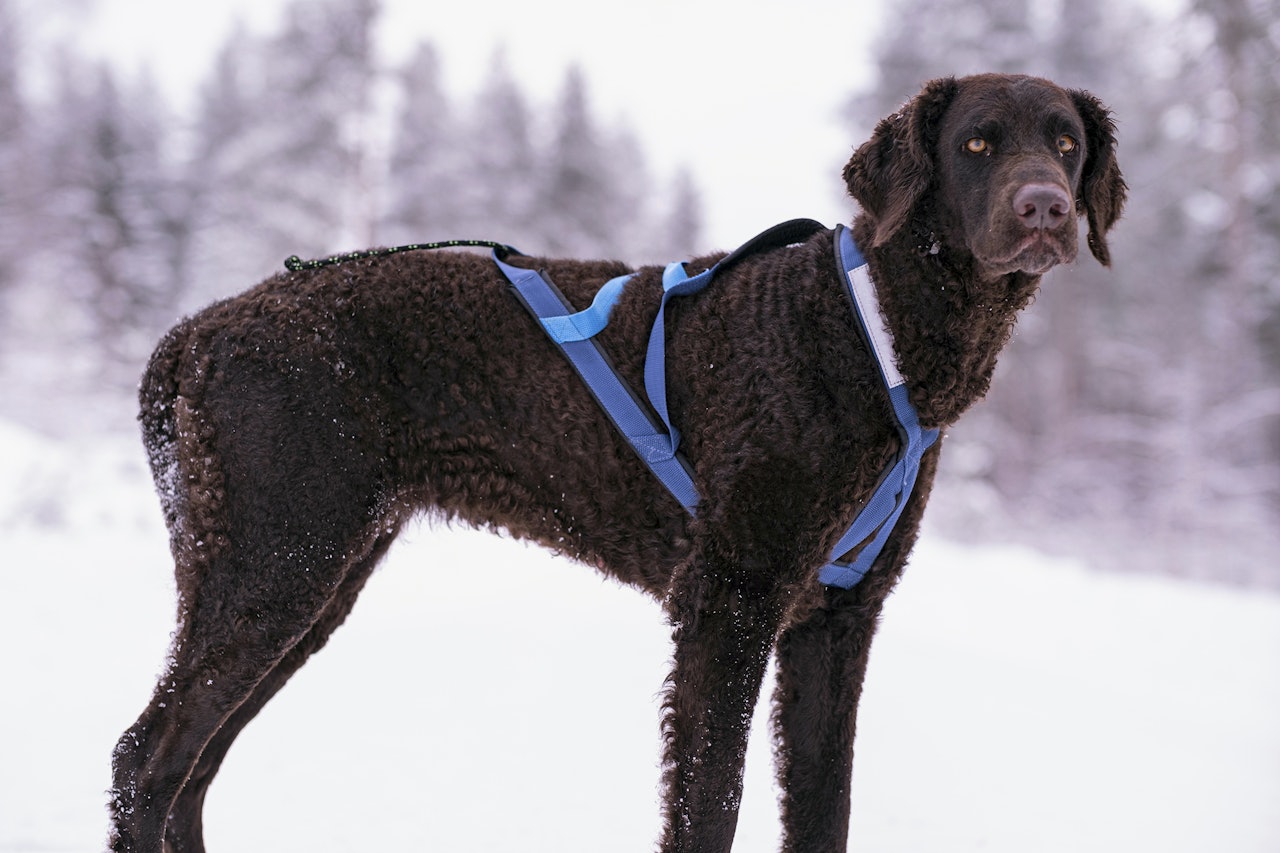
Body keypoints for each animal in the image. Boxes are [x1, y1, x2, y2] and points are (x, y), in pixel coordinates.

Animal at [112, 73, 1131, 850]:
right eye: (976, 144)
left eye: (1067, 144)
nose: (1044, 208)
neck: (866, 329)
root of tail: (203, 326)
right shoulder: (730, 597)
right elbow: (708, 805)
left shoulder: (836, 622)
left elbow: (822, 811)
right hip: (274, 566)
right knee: (145, 760)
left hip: (308, 584)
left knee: (192, 769)